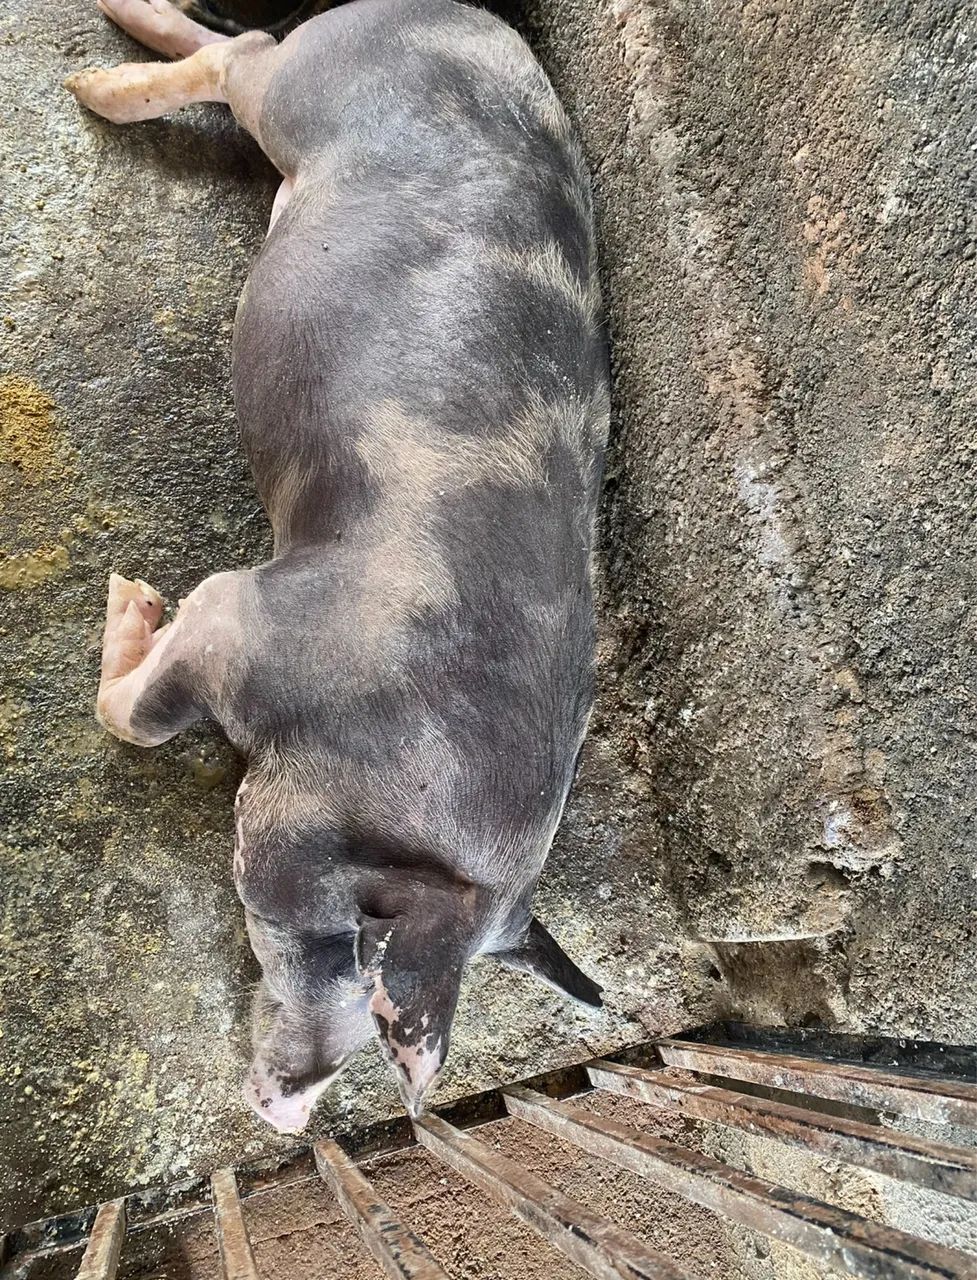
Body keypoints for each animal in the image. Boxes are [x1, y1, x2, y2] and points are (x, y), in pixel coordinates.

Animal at [65, 0, 609, 1131]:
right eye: (363, 945)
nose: (286, 1113)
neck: (380, 750)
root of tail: (461, 15)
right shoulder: (240, 615)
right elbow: (136, 716)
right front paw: (133, 590)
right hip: (310, 89)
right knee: (246, 53)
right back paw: (90, 84)